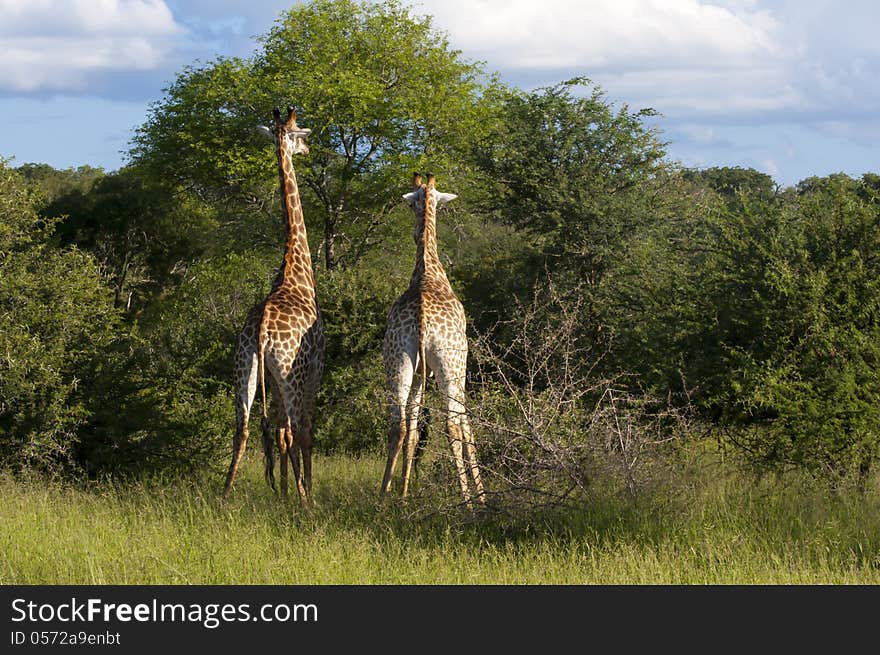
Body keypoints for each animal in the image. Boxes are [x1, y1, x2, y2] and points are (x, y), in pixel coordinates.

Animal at [223, 106, 326, 508]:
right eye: (300, 134)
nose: (309, 150)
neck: (295, 270)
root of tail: (263, 329)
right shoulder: (313, 370)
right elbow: (304, 432)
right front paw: (302, 490)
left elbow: (279, 435)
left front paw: (281, 492)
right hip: (288, 374)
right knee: (296, 428)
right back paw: (306, 501)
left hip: (246, 367)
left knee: (243, 427)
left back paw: (224, 495)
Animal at [380, 172, 484, 504]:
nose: (414, 234)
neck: (428, 270)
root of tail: (423, 318)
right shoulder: (460, 368)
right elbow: (466, 424)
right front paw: (481, 493)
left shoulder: (417, 374)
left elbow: (414, 428)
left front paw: (403, 492)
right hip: (449, 363)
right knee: (451, 425)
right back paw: (467, 501)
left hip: (398, 361)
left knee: (398, 424)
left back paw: (384, 496)